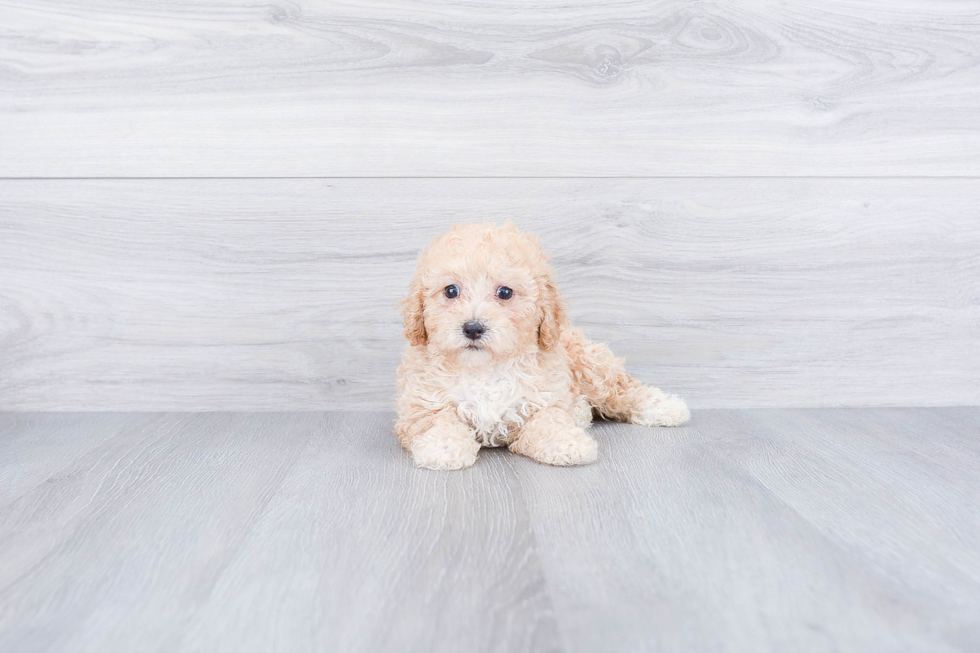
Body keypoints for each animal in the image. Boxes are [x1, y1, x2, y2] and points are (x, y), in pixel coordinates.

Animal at [392, 223, 688, 468]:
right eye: (451, 291)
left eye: (505, 292)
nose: (473, 328)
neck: (484, 369)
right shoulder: (420, 406)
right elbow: (438, 422)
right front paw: (443, 447)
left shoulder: (542, 401)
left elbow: (550, 421)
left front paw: (567, 443)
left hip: (591, 366)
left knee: (623, 390)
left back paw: (665, 406)